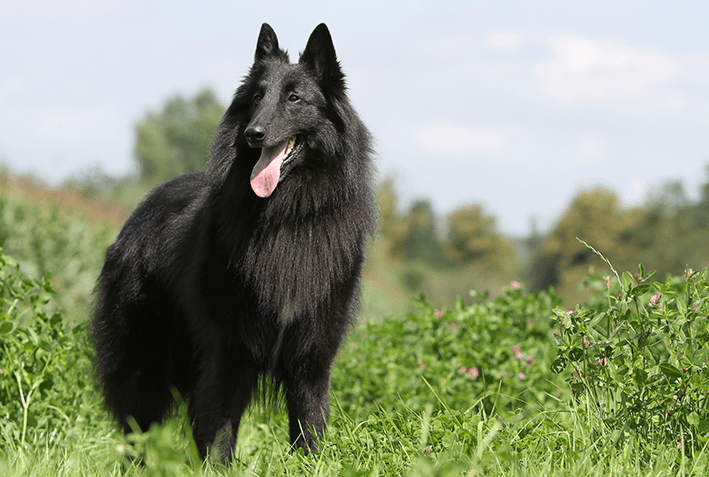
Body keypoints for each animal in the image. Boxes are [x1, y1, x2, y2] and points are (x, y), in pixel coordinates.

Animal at [91, 23, 374, 462]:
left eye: (294, 98)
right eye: (257, 97)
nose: (253, 133)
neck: (285, 219)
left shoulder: (312, 354)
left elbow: (308, 422)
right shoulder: (226, 349)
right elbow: (219, 428)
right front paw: (218, 467)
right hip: (142, 365)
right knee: (137, 429)